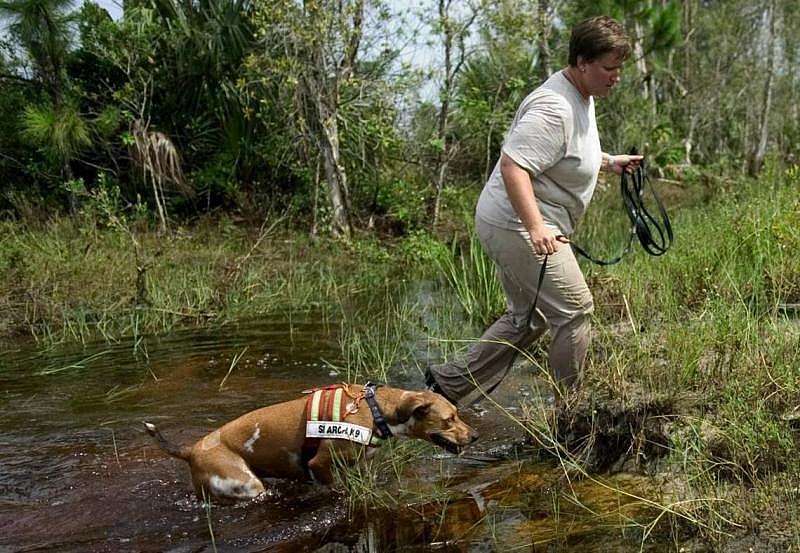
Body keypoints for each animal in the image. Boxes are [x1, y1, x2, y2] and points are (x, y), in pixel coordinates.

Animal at [145, 382, 476, 502]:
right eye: (449, 419)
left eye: (457, 413)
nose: (475, 436)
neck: (374, 409)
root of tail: (191, 449)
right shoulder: (320, 465)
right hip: (247, 484)